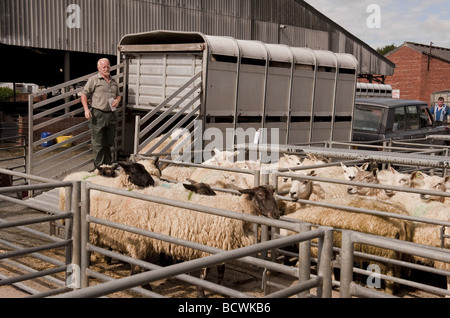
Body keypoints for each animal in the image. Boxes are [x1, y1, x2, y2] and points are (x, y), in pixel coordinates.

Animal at [86, 184, 280, 298]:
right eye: (260, 194)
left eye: (273, 194)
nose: (276, 214)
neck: (237, 210)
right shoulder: (208, 245)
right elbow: (204, 274)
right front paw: (201, 293)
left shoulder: (220, 246)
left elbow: (221, 270)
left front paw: (221, 289)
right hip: (137, 241)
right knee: (136, 268)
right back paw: (146, 289)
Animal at [284, 196, 414, 296]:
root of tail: (403, 221)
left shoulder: (316, 247)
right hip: (396, 254)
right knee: (397, 271)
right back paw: (396, 288)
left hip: (384, 254)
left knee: (390, 274)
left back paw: (388, 291)